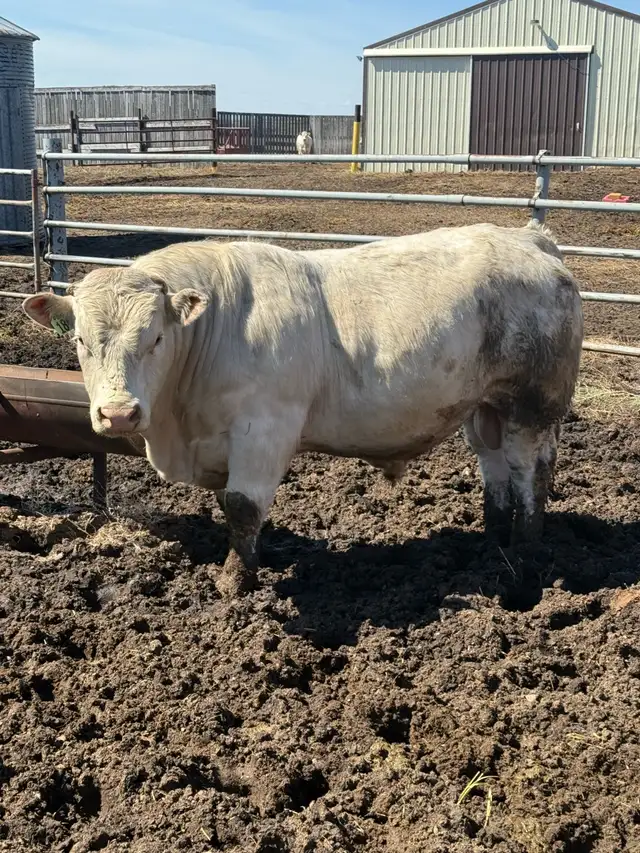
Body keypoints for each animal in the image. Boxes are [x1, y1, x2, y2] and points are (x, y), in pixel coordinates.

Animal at [23, 221, 583, 596]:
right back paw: (491, 542)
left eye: (156, 339)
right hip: (483, 409)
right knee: (495, 468)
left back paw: (522, 553)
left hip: (532, 405)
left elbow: (242, 506)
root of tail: (529, 237)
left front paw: (235, 581)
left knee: (529, 472)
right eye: (79, 340)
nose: (118, 414)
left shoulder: (264, 429)